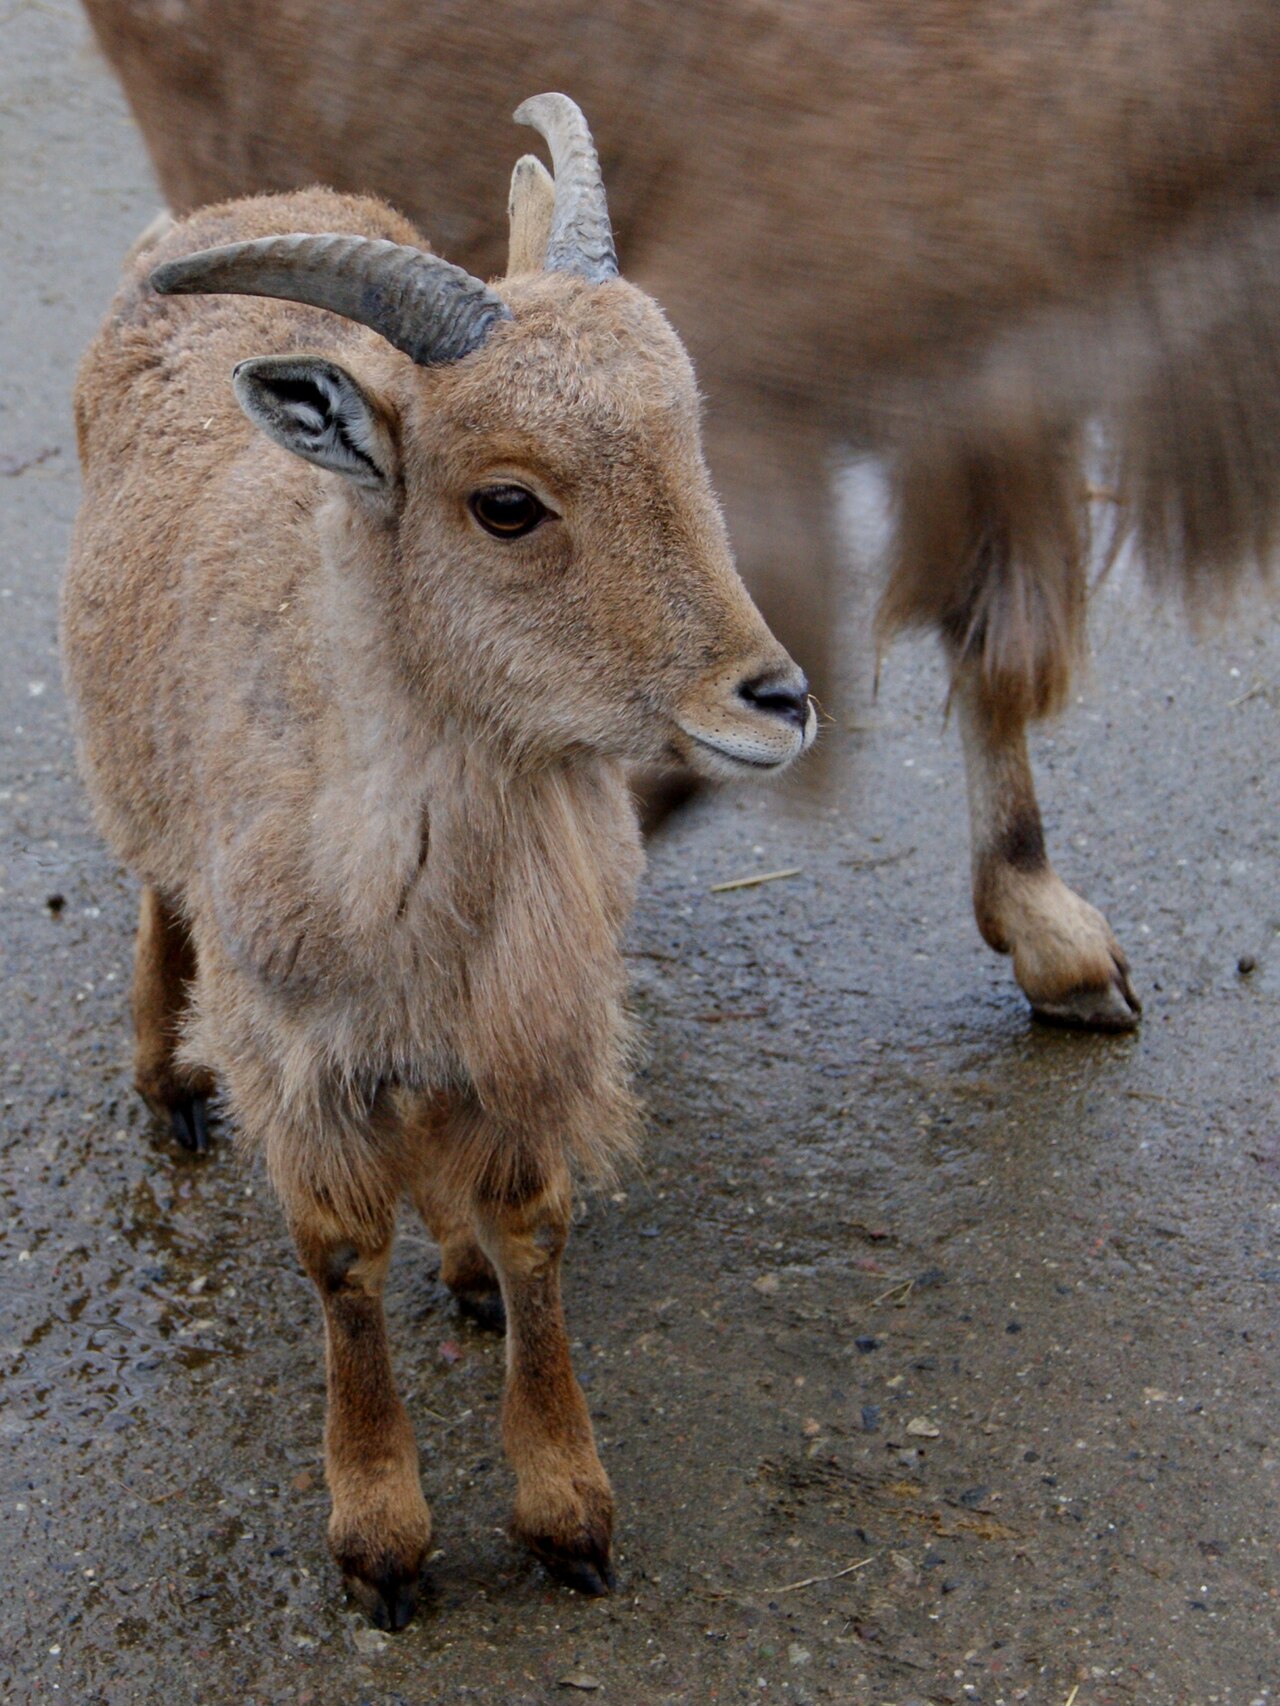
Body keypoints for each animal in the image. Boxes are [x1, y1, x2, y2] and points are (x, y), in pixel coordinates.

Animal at [60, 93, 816, 1628]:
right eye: (507, 502)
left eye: (688, 438)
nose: (773, 700)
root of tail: (251, 202)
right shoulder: (300, 1052)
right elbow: (341, 1256)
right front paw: (381, 1534)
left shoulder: (529, 1024)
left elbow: (530, 1223)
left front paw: (565, 1505)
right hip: (141, 775)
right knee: (158, 884)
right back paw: (165, 1077)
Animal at [83, 0, 1280, 1030]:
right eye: (507, 502)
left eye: (682, 435)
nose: (779, 703)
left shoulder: (1001, 393)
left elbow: (1000, 643)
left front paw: (1059, 945)